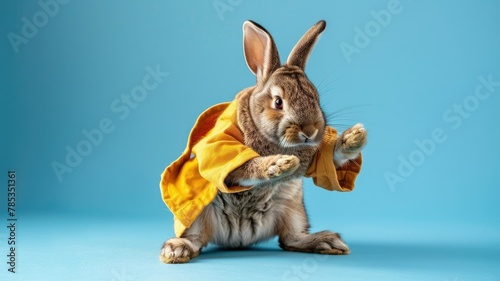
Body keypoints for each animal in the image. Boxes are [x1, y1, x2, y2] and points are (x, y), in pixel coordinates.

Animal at [160, 19, 368, 262]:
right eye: (278, 102)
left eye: (315, 98)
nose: (310, 130)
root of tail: (239, 239)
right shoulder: (220, 147)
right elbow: (237, 165)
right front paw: (277, 164)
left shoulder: (313, 161)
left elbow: (327, 160)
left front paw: (353, 138)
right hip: (198, 215)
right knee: (196, 238)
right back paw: (176, 249)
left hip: (292, 210)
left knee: (290, 239)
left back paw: (326, 241)